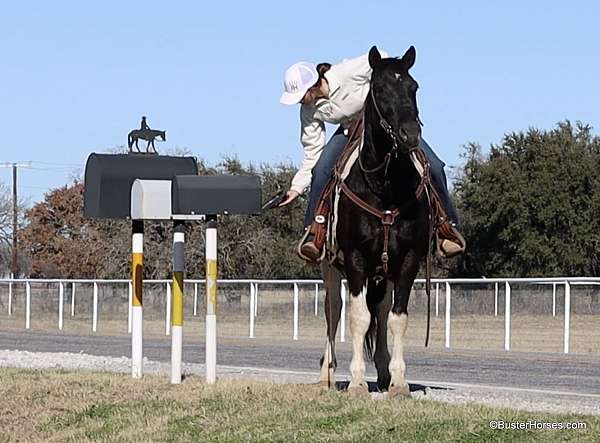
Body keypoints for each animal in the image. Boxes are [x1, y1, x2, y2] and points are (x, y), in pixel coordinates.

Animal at [322, 46, 428, 398]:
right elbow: (358, 318)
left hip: (385, 272)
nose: (410, 135)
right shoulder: (355, 260)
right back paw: (327, 374)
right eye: (379, 89)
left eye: (414, 87)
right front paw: (356, 382)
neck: (384, 187)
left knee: (381, 312)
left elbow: (396, 319)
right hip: (329, 267)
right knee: (333, 312)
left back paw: (381, 371)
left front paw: (398, 381)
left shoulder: (407, 261)